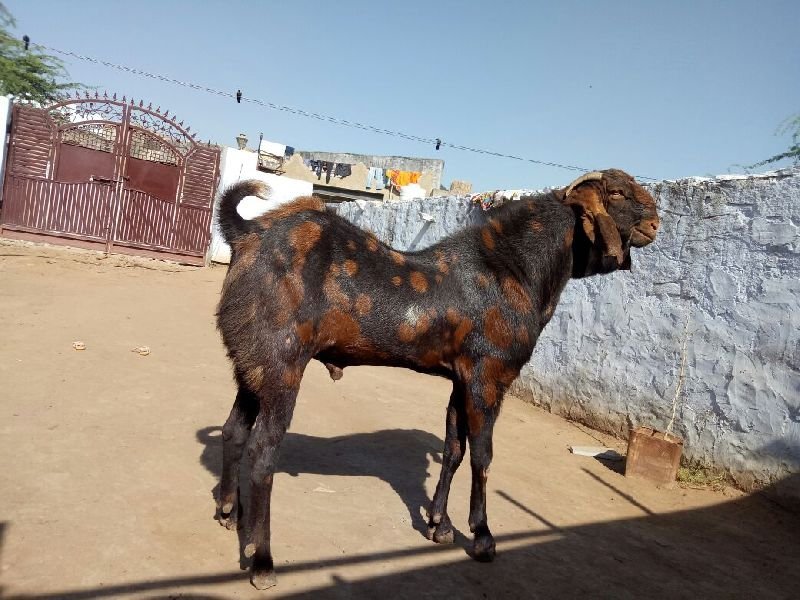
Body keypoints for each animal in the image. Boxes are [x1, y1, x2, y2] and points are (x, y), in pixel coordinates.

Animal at [214, 169, 659, 589]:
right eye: (616, 193)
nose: (655, 222)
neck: (511, 270)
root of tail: (247, 233)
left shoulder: (460, 380)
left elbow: (454, 449)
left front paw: (439, 524)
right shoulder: (487, 378)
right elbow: (482, 455)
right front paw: (481, 535)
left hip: (250, 366)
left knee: (234, 430)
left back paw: (230, 512)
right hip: (282, 366)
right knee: (263, 453)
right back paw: (262, 561)